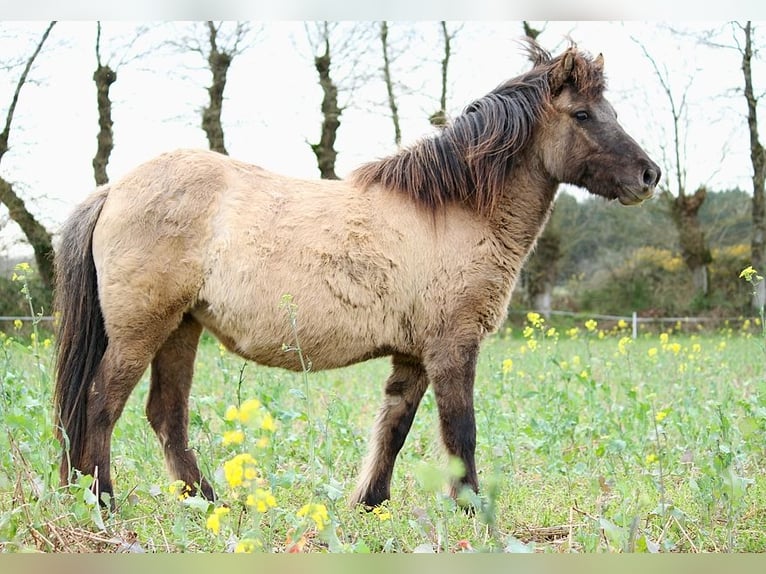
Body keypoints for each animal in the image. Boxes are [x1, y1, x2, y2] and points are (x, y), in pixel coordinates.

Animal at [54, 40, 664, 510]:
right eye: (583, 115)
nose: (650, 175)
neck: (454, 209)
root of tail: (113, 190)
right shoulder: (453, 348)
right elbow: (460, 432)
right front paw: (472, 512)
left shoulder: (414, 356)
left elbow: (394, 427)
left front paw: (370, 504)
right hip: (141, 330)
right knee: (100, 404)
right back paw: (104, 502)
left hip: (182, 328)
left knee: (166, 417)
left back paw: (209, 504)